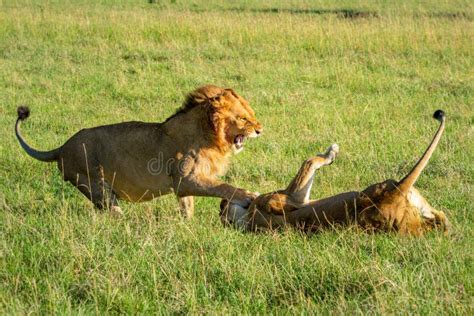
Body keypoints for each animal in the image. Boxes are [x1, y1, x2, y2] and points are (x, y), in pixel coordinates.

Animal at [220, 110, 450, 236]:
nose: (222, 202)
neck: (247, 218)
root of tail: (390, 196)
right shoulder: (294, 196)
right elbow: (310, 161)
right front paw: (332, 152)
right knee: (440, 217)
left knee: (441, 219)